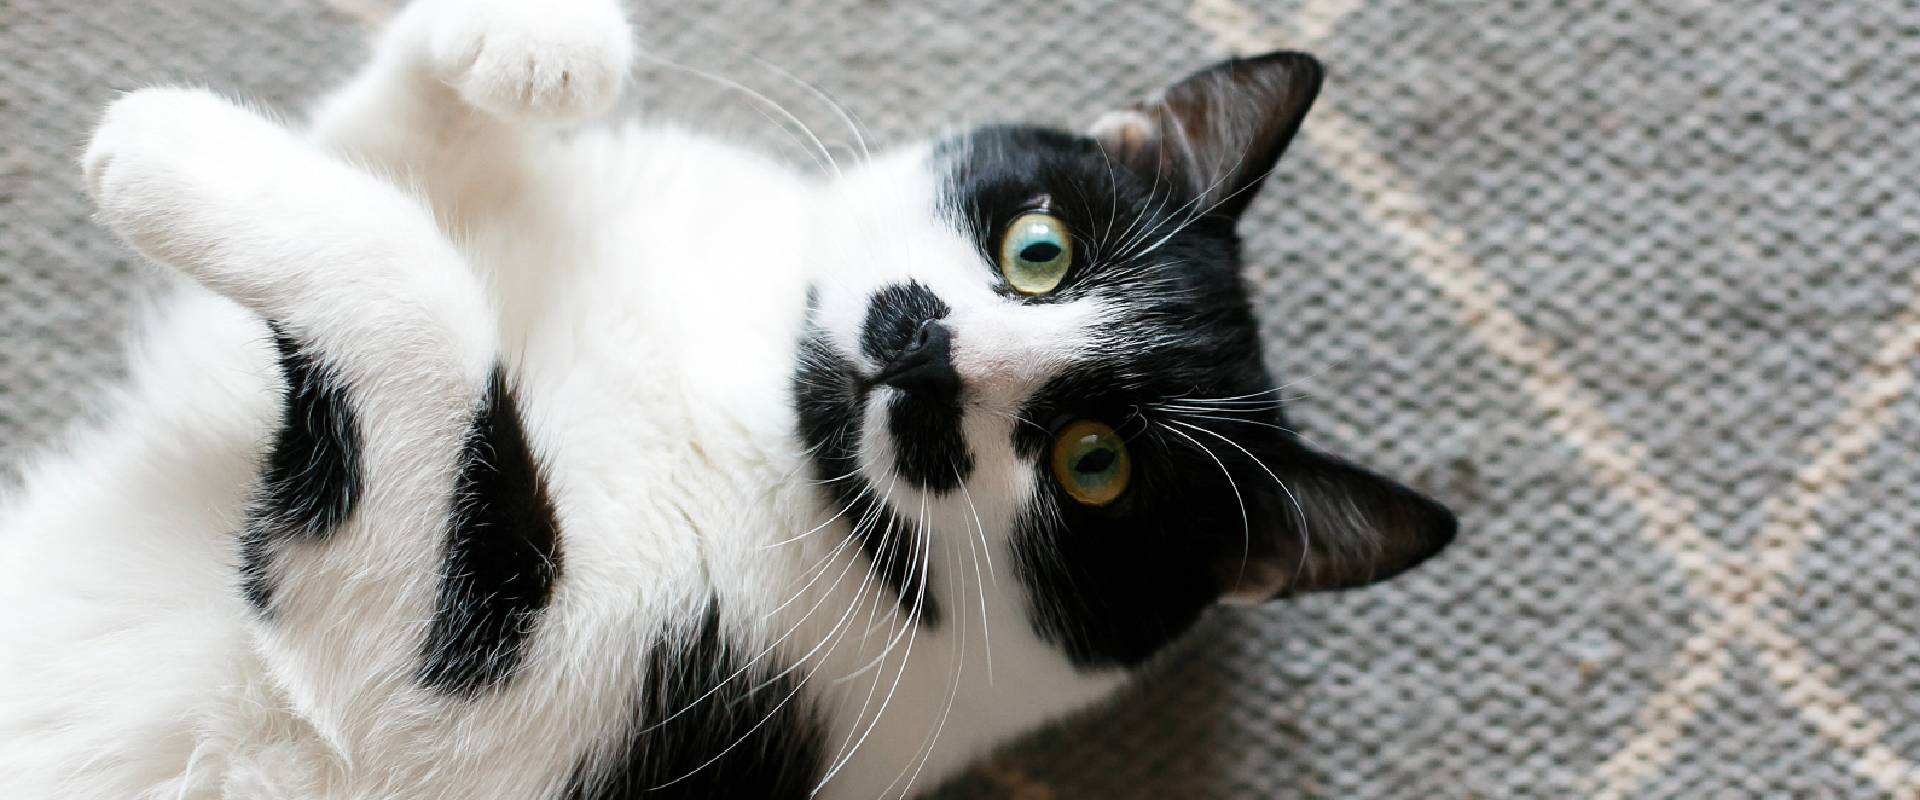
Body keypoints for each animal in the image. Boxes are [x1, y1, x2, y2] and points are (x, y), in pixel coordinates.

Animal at [0, 1, 1443, 798]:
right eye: (1040, 248)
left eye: (1099, 467)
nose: (929, 350)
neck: (754, 407)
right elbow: (389, 157)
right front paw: (536, 45)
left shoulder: (466, 713)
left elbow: (429, 315)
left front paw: (157, 143)